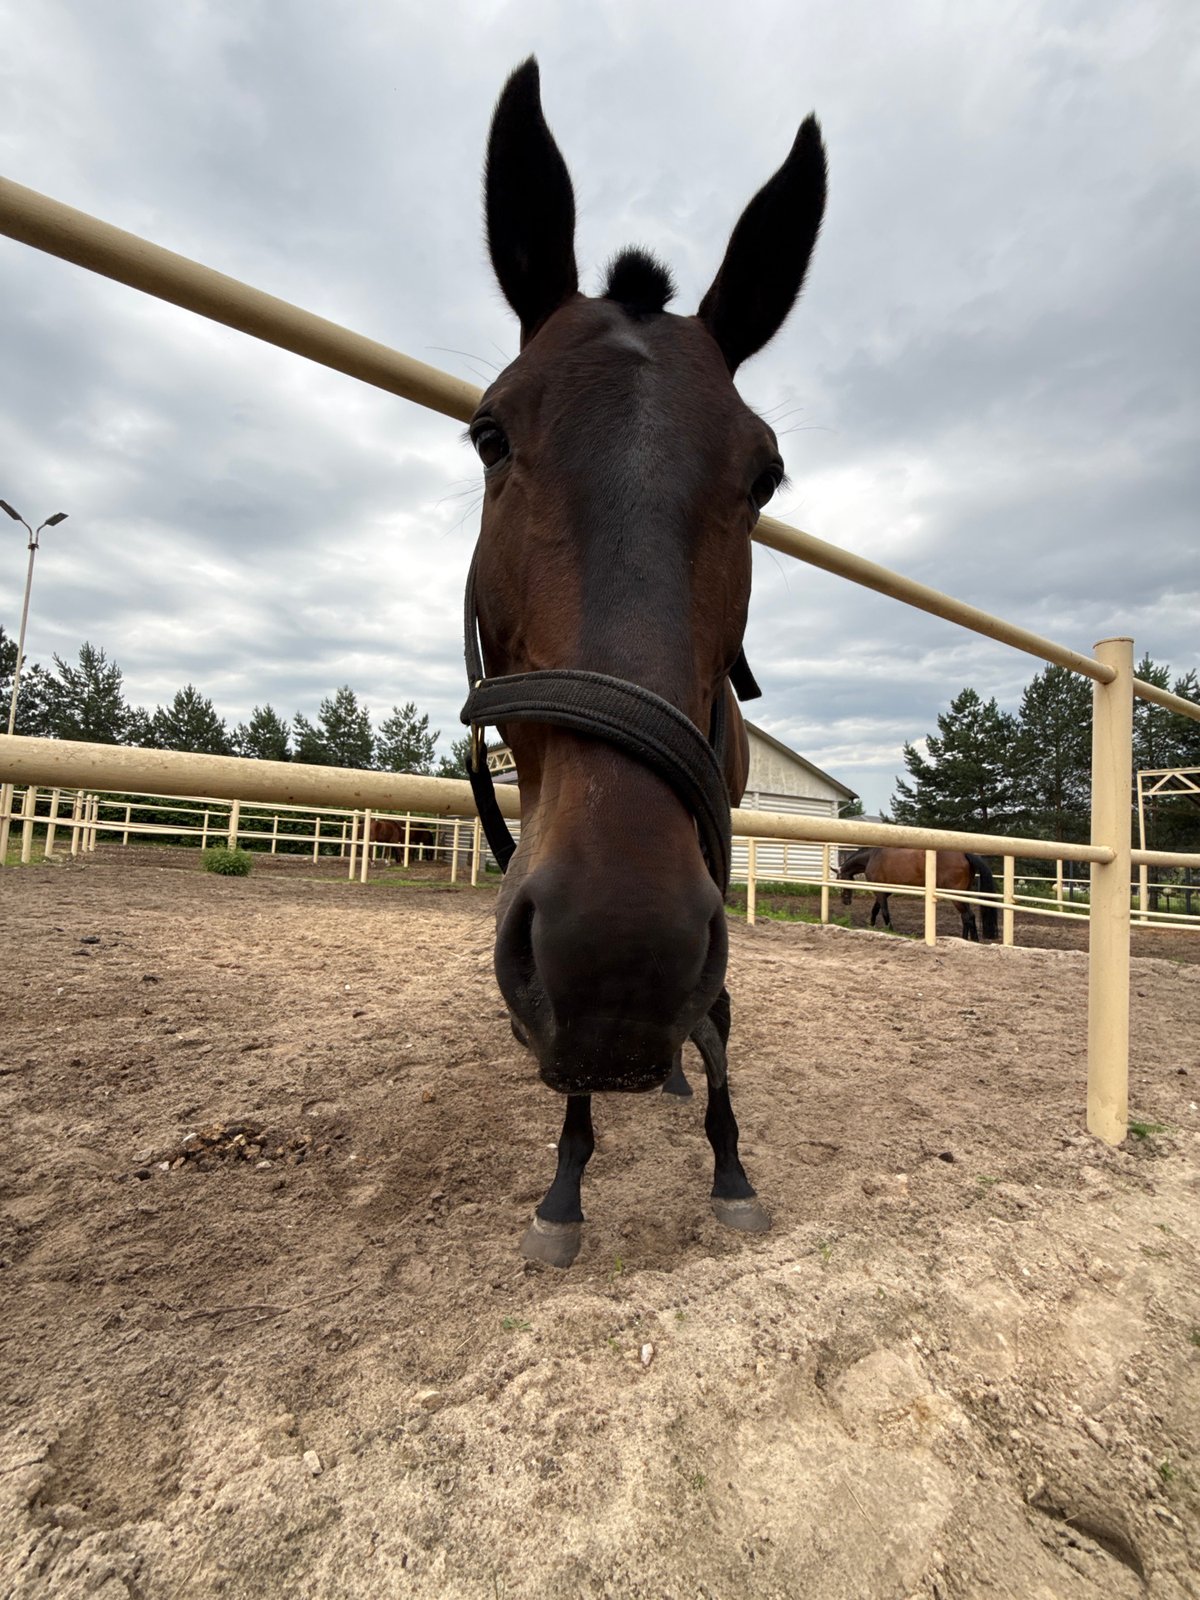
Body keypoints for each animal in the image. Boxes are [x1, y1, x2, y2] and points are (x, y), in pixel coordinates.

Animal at [459, 59, 826, 1267]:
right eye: (490, 435)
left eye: (764, 476)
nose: (620, 954)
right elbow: (571, 1071)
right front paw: (565, 1187)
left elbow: (719, 1012)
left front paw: (731, 1169)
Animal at [837, 847, 999, 941]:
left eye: (840, 880)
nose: (845, 901)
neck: (872, 856)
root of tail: (964, 854)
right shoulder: (887, 891)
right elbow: (875, 909)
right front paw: (871, 925)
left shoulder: (881, 891)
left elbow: (884, 911)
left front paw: (890, 930)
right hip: (962, 895)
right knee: (966, 917)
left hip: (956, 896)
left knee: (968, 916)